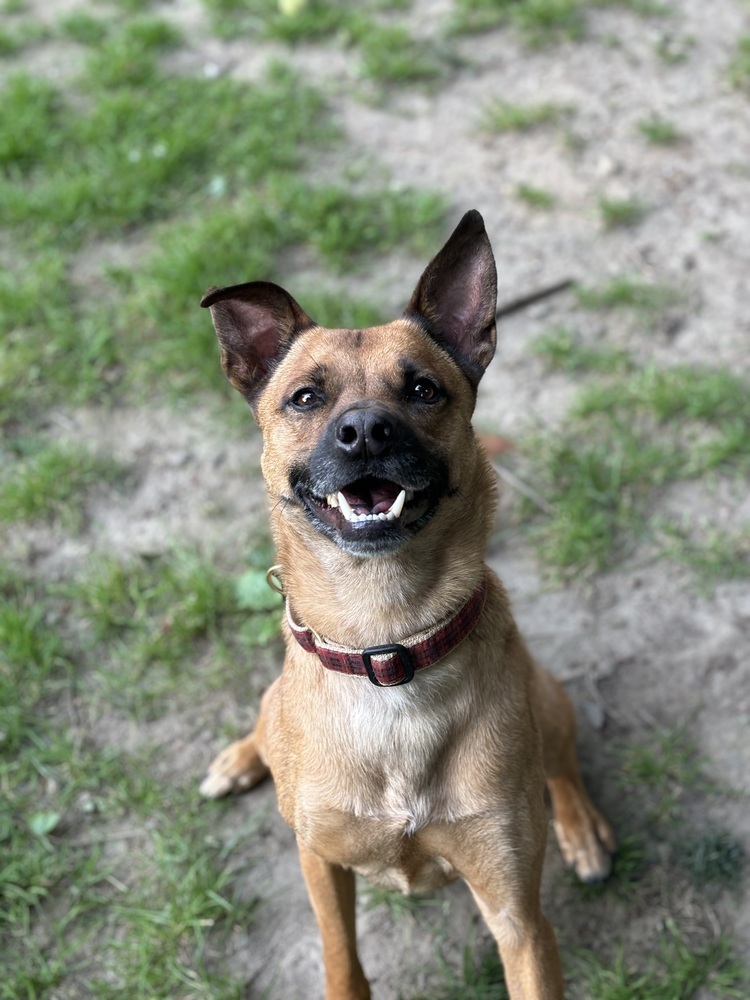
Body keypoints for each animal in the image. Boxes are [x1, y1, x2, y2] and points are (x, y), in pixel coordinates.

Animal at [200, 213, 616, 1000]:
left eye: (423, 389)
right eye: (306, 398)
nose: (365, 431)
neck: (385, 639)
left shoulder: (518, 916)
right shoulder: (320, 864)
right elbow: (342, 959)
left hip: (546, 698)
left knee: (562, 760)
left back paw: (582, 830)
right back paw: (241, 758)